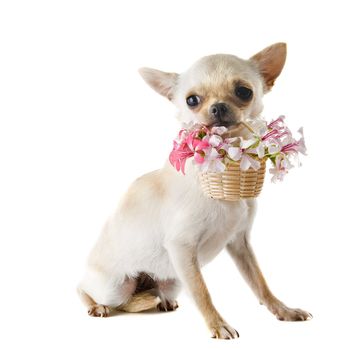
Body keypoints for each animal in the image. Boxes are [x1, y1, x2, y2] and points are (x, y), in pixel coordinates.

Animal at [78, 43, 312, 340]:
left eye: (244, 92)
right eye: (192, 100)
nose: (219, 107)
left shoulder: (240, 243)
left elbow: (260, 283)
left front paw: (283, 309)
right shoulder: (182, 248)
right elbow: (202, 292)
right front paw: (218, 324)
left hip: (171, 281)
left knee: (149, 296)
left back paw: (162, 301)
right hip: (116, 286)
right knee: (85, 289)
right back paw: (95, 305)